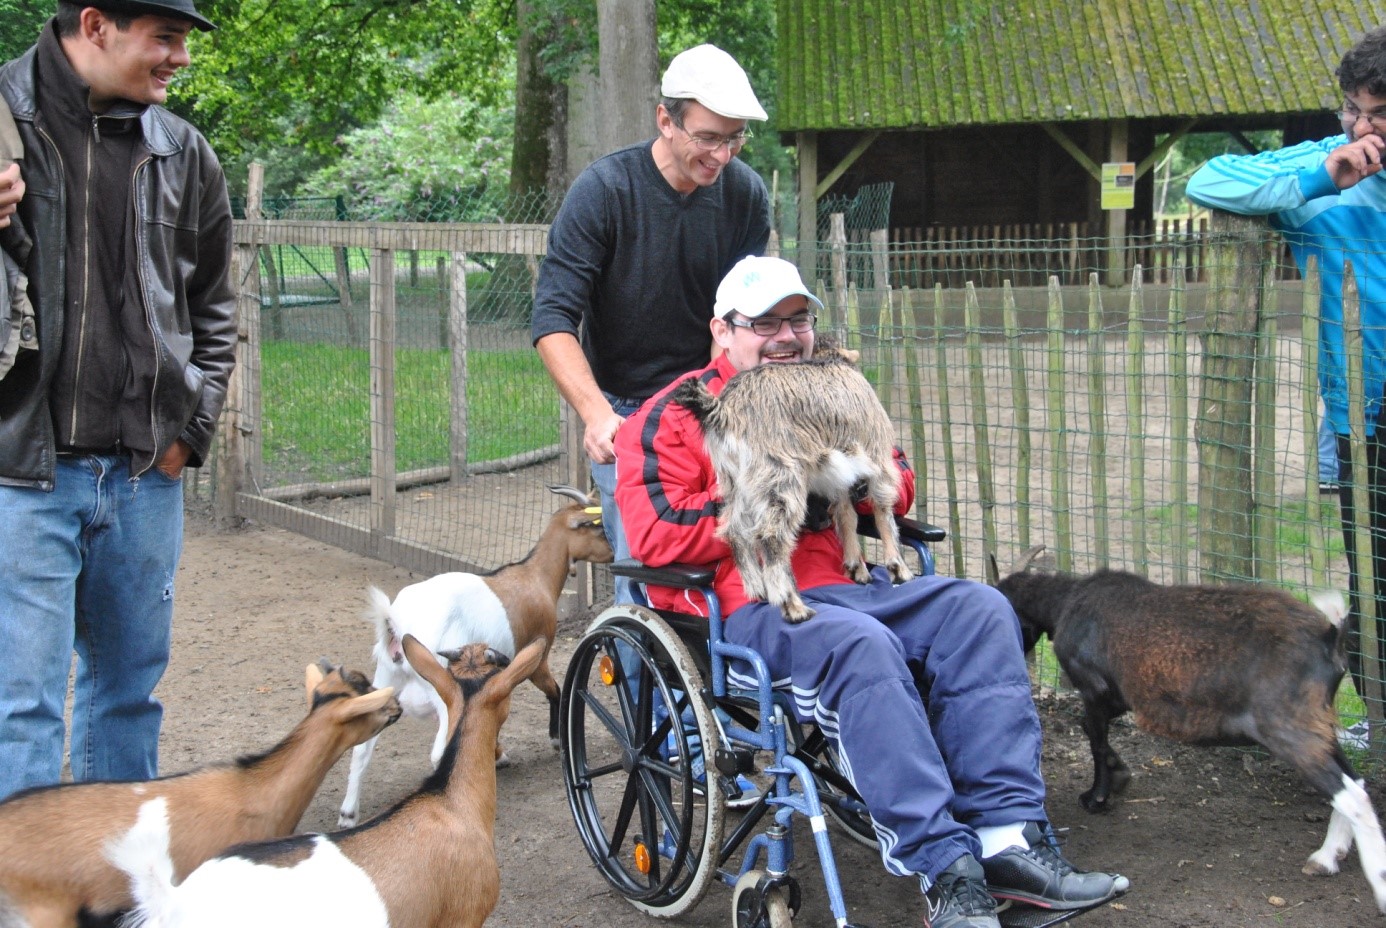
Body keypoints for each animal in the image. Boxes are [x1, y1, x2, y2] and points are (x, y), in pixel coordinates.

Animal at [338, 487, 609, 831]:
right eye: (598, 528)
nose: (615, 553)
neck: (534, 577)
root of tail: (395, 623)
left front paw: (498, 754)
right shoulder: (536, 657)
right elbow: (554, 690)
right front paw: (554, 740)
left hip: (387, 677)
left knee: (362, 748)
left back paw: (348, 815)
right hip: (440, 684)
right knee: (438, 749)